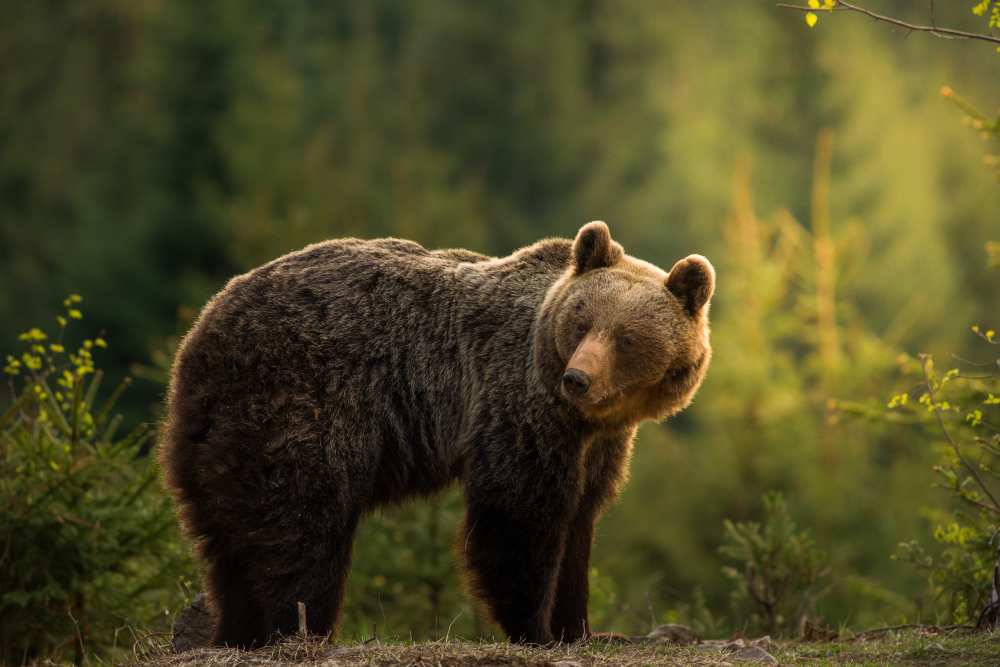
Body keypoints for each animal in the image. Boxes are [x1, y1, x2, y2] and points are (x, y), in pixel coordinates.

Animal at [158, 223, 712, 648]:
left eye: (626, 337)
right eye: (581, 321)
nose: (577, 378)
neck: (587, 417)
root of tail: (203, 329)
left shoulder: (598, 445)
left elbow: (580, 521)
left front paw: (580, 629)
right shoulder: (516, 402)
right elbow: (519, 515)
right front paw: (535, 629)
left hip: (217, 434)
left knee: (227, 540)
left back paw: (236, 631)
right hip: (299, 404)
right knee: (302, 526)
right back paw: (300, 630)